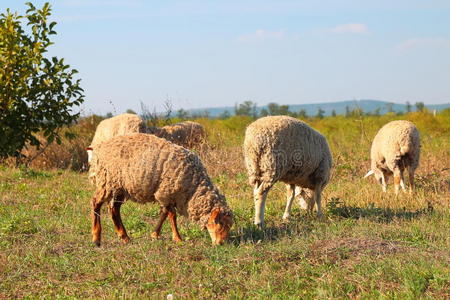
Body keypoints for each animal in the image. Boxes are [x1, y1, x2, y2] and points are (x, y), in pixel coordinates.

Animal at [89, 132, 234, 245]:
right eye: (219, 223)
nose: (221, 244)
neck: (193, 188)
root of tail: (99, 148)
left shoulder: (167, 195)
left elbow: (164, 213)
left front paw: (155, 234)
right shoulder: (166, 193)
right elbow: (172, 215)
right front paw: (177, 238)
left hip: (119, 186)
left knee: (114, 209)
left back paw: (124, 237)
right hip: (107, 180)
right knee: (96, 203)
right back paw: (96, 238)